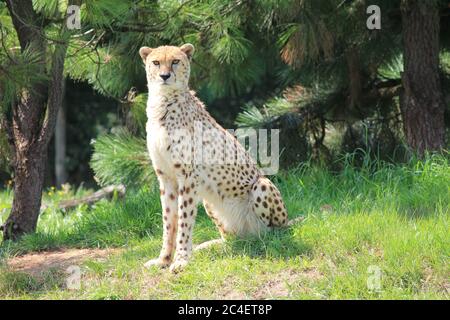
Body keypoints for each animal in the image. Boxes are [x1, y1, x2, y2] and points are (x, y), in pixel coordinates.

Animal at [139, 43, 300, 272]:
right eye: (156, 62)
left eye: (175, 61)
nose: (164, 76)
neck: (163, 103)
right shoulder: (166, 178)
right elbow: (169, 221)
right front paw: (163, 259)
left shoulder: (187, 178)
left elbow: (184, 221)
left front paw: (181, 260)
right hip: (210, 202)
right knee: (233, 239)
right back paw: (209, 246)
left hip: (262, 185)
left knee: (272, 233)